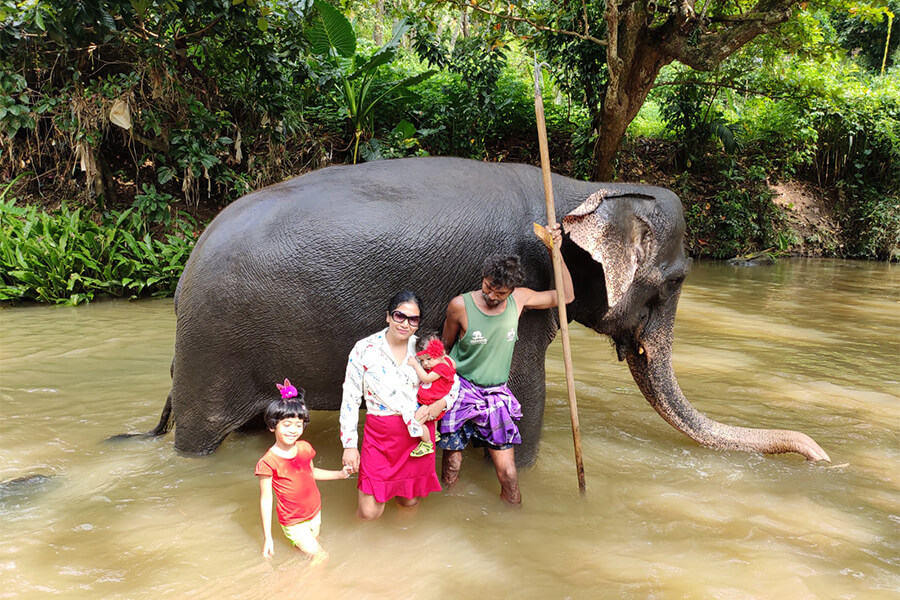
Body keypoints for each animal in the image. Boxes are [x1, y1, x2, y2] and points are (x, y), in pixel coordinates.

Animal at [145, 156, 830, 465]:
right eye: (675, 281)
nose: (819, 455)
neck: (581, 188)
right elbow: (527, 400)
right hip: (213, 352)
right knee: (201, 439)